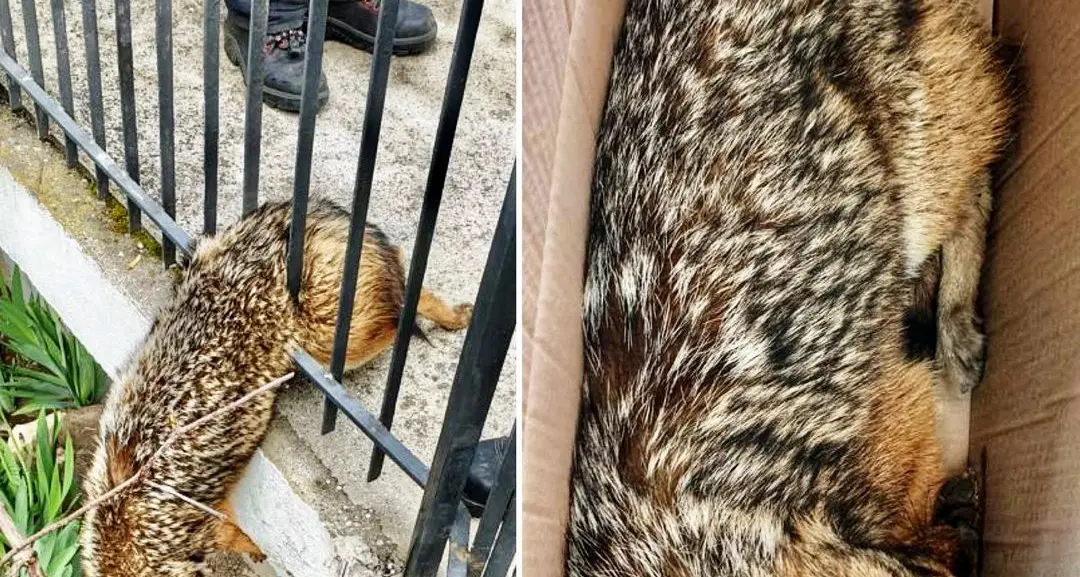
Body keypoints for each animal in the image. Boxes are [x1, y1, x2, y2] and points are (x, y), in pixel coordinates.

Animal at [79, 199, 472, 576]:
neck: (120, 515)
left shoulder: (208, 522)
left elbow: (241, 538)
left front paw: (257, 551)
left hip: (334, 343)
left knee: (402, 307)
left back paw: (453, 317)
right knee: (404, 274)